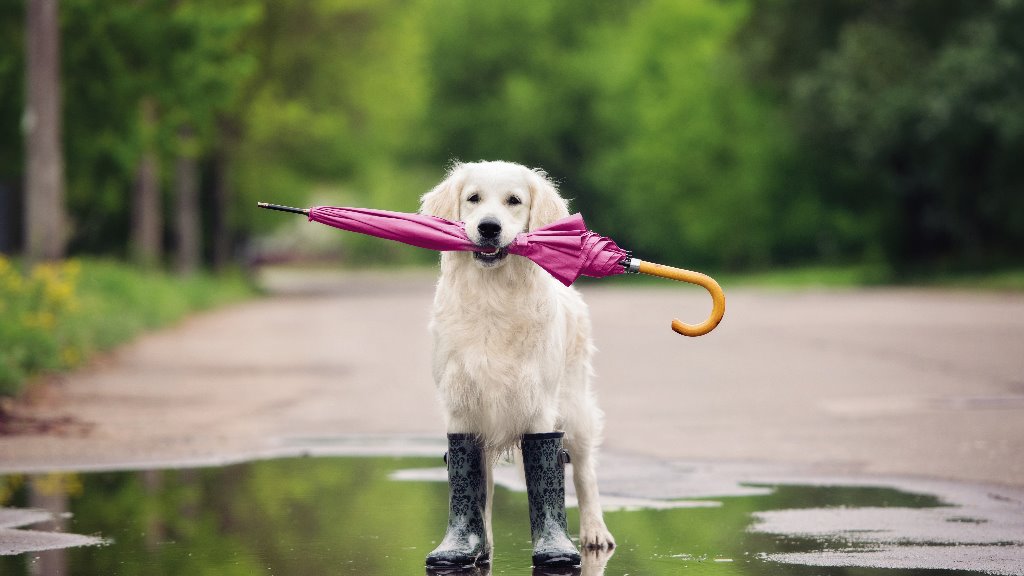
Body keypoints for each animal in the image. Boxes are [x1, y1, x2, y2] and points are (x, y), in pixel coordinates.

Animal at [417, 157, 610, 557]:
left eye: (514, 201)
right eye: (473, 198)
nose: (489, 228)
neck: (493, 296)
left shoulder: (539, 405)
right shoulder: (461, 405)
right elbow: (473, 484)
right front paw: (469, 545)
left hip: (575, 407)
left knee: (584, 471)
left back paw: (594, 532)